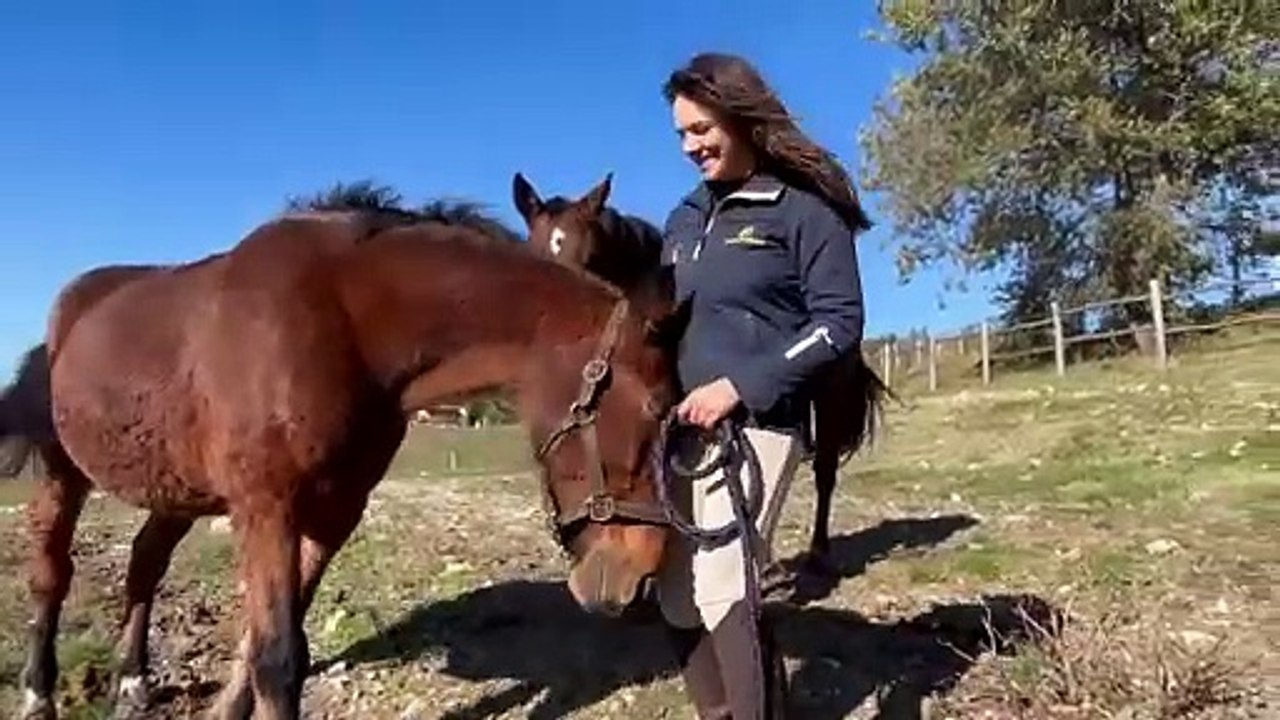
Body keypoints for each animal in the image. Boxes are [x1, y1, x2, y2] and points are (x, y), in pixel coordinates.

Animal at [0, 200, 689, 720]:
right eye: (655, 410)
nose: (638, 583)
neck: (340, 322)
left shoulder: (333, 513)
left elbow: (273, 644)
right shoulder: (267, 508)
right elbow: (277, 658)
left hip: (176, 486)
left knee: (144, 563)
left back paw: (132, 681)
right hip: (64, 473)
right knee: (51, 573)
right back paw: (38, 692)